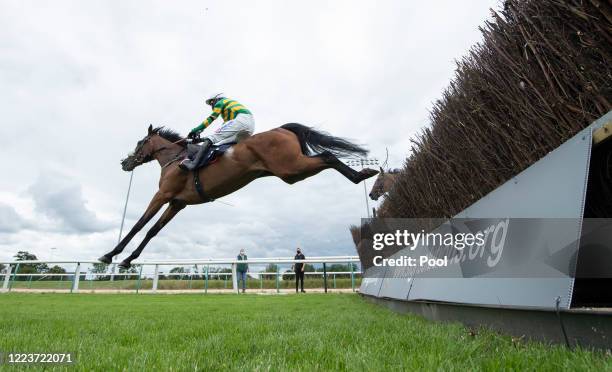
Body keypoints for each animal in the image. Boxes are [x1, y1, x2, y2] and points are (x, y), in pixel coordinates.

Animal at [99, 124, 378, 268]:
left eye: (139, 143)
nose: (125, 163)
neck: (174, 159)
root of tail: (282, 129)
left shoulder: (163, 194)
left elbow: (138, 225)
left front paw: (111, 255)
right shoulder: (178, 203)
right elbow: (152, 231)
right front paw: (127, 260)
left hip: (290, 168)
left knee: (327, 156)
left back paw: (362, 173)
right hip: (291, 172)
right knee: (327, 157)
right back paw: (364, 173)